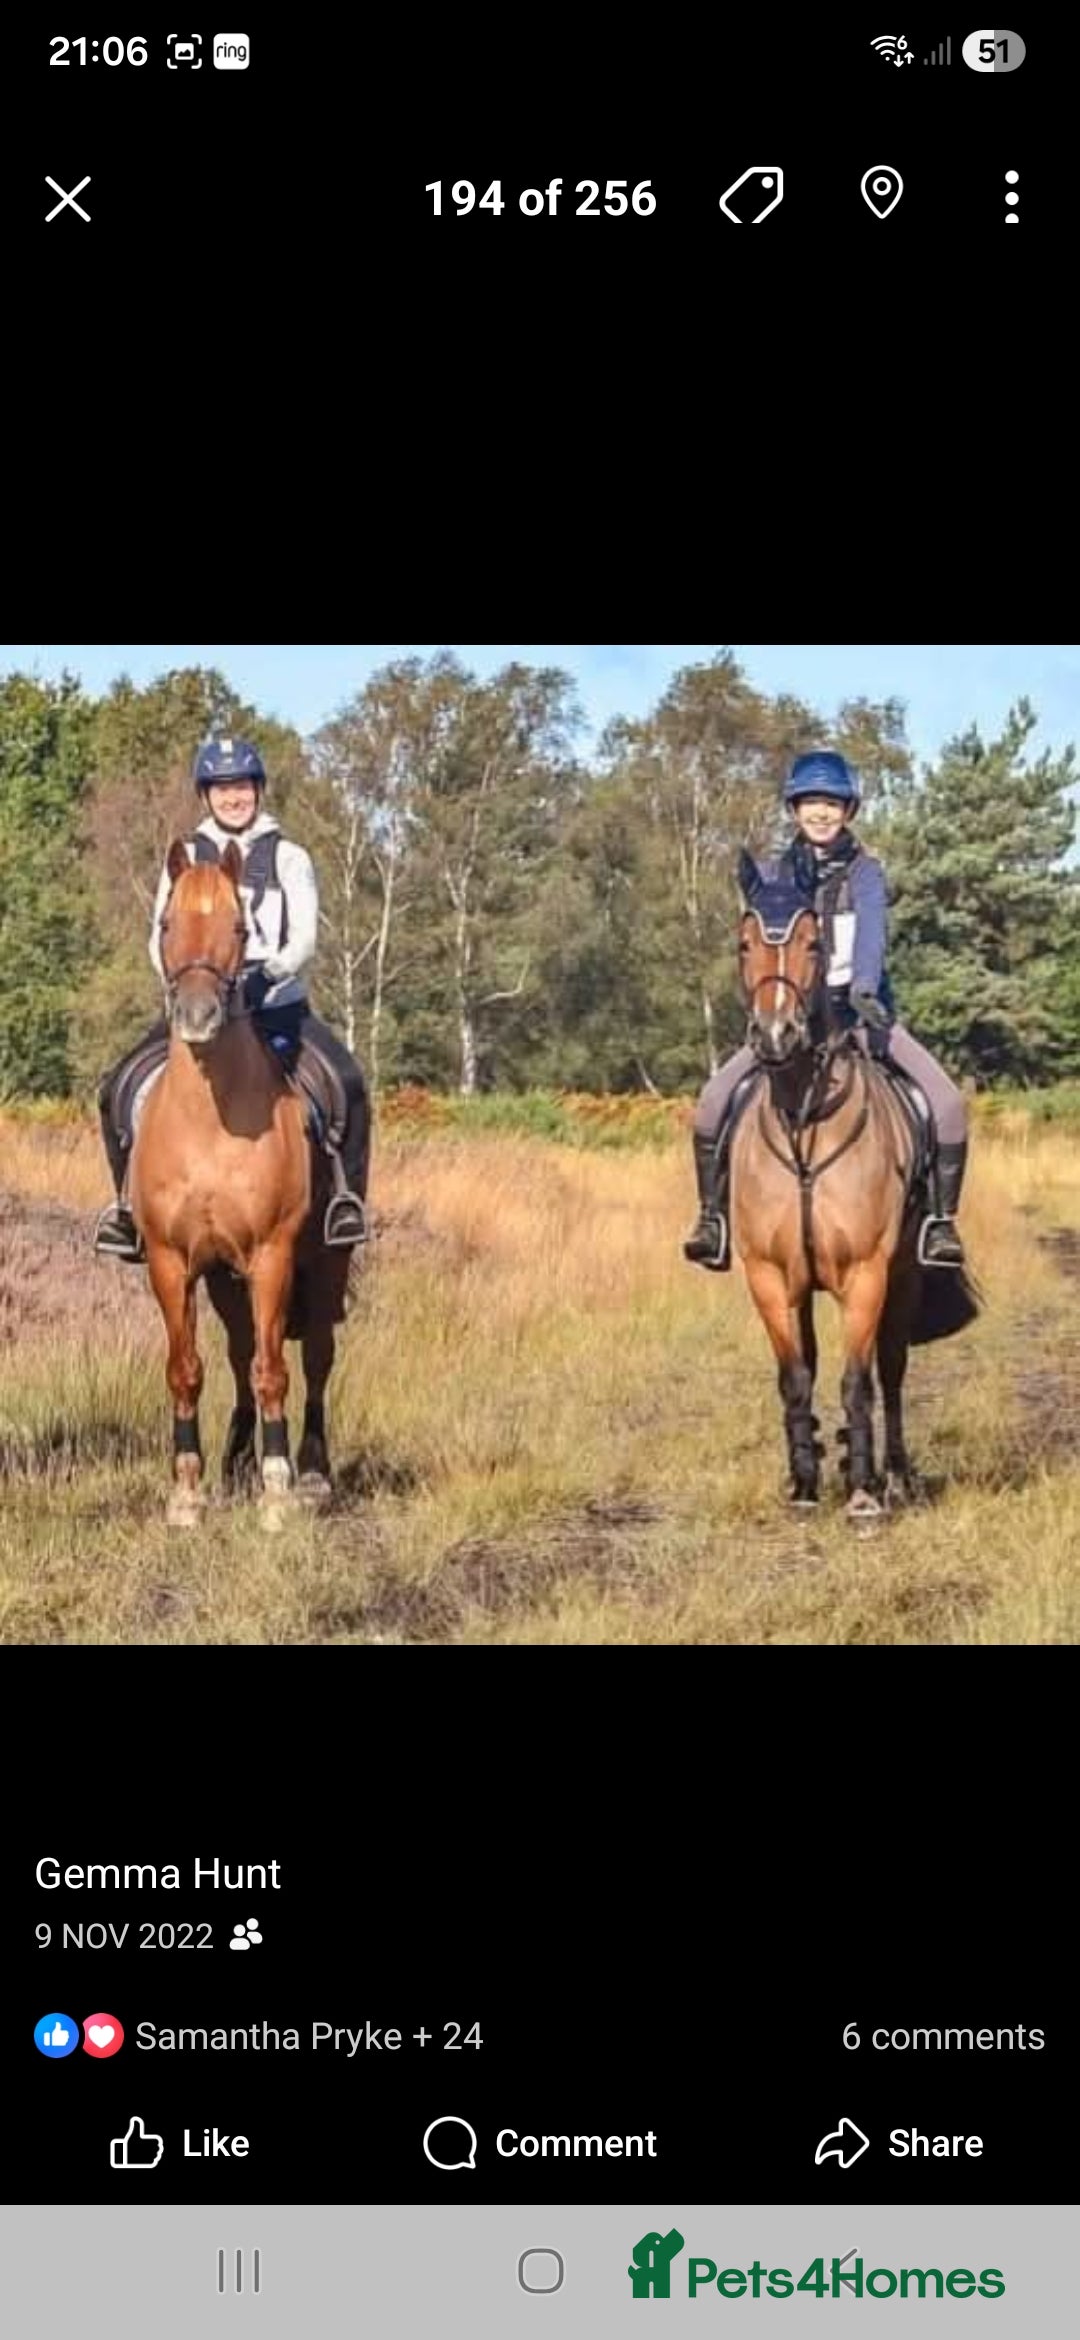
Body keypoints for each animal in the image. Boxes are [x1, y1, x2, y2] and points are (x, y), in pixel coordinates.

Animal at [129, 839, 359, 1530]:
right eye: (166, 924)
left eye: (240, 928)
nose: (198, 1015)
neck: (210, 1117)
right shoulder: (171, 1262)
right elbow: (187, 1370)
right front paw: (187, 1491)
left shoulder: (272, 1256)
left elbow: (273, 1370)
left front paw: (277, 1492)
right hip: (224, 1279)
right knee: (235, 1354)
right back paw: (234, 1462)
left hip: (327, 1260)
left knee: (315, 1355)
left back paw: (310, 1474)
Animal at [728, 850, 979, 1519]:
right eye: (744, 944)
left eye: (815, 943)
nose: (776, 1036)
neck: (803, 1117)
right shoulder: (770, 1276)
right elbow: (796, 1377)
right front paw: (804, 1483)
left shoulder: (866, 1272)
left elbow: (857, 1380)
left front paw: (863, 1490)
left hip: (904, 1272)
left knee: (890, 1368)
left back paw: (894, 1476)